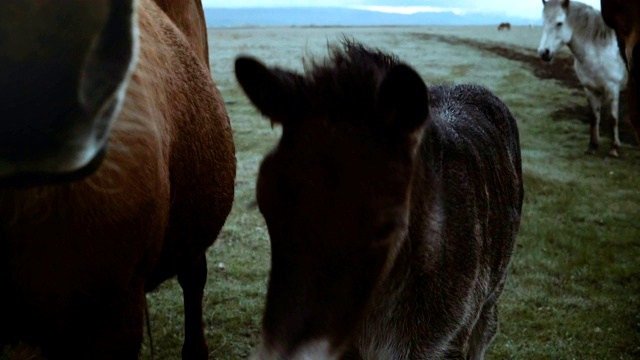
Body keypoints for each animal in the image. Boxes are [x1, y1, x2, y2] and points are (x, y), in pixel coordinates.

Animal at [536, 0, 628, 158]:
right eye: (543, 22)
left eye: (559, 23)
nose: (543, 53)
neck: (599, 51)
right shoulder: (590, 90)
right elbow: (594, 117)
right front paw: (593, 146)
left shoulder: (613, 88)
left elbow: (613, 118)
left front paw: (614, 148)